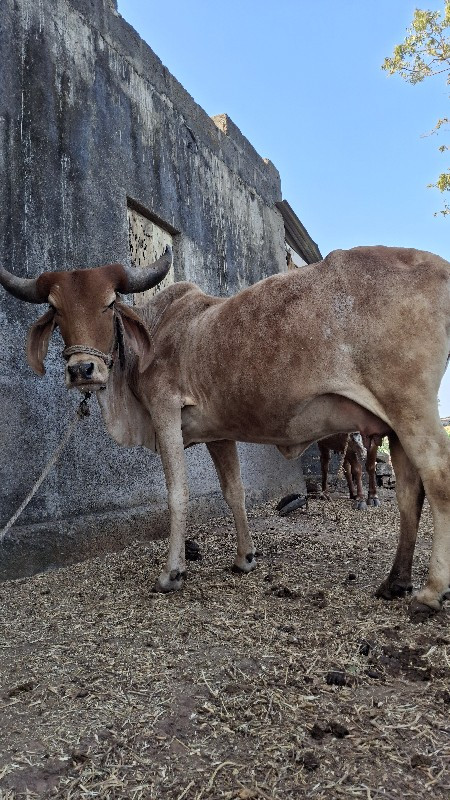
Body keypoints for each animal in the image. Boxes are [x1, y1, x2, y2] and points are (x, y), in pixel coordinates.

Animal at [0, 244, 450, 620]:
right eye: (56, 310)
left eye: (110, 303)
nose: (81, 370)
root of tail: (440, 267)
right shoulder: (218, 434)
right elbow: (234, 492)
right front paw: (244, 559)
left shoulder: (165, 412)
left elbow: (177, 493)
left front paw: (172, 573)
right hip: (393, 424)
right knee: (409, 493)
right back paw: (395, 581)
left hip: (410, 407)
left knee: (438, 480)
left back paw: (429, 593)